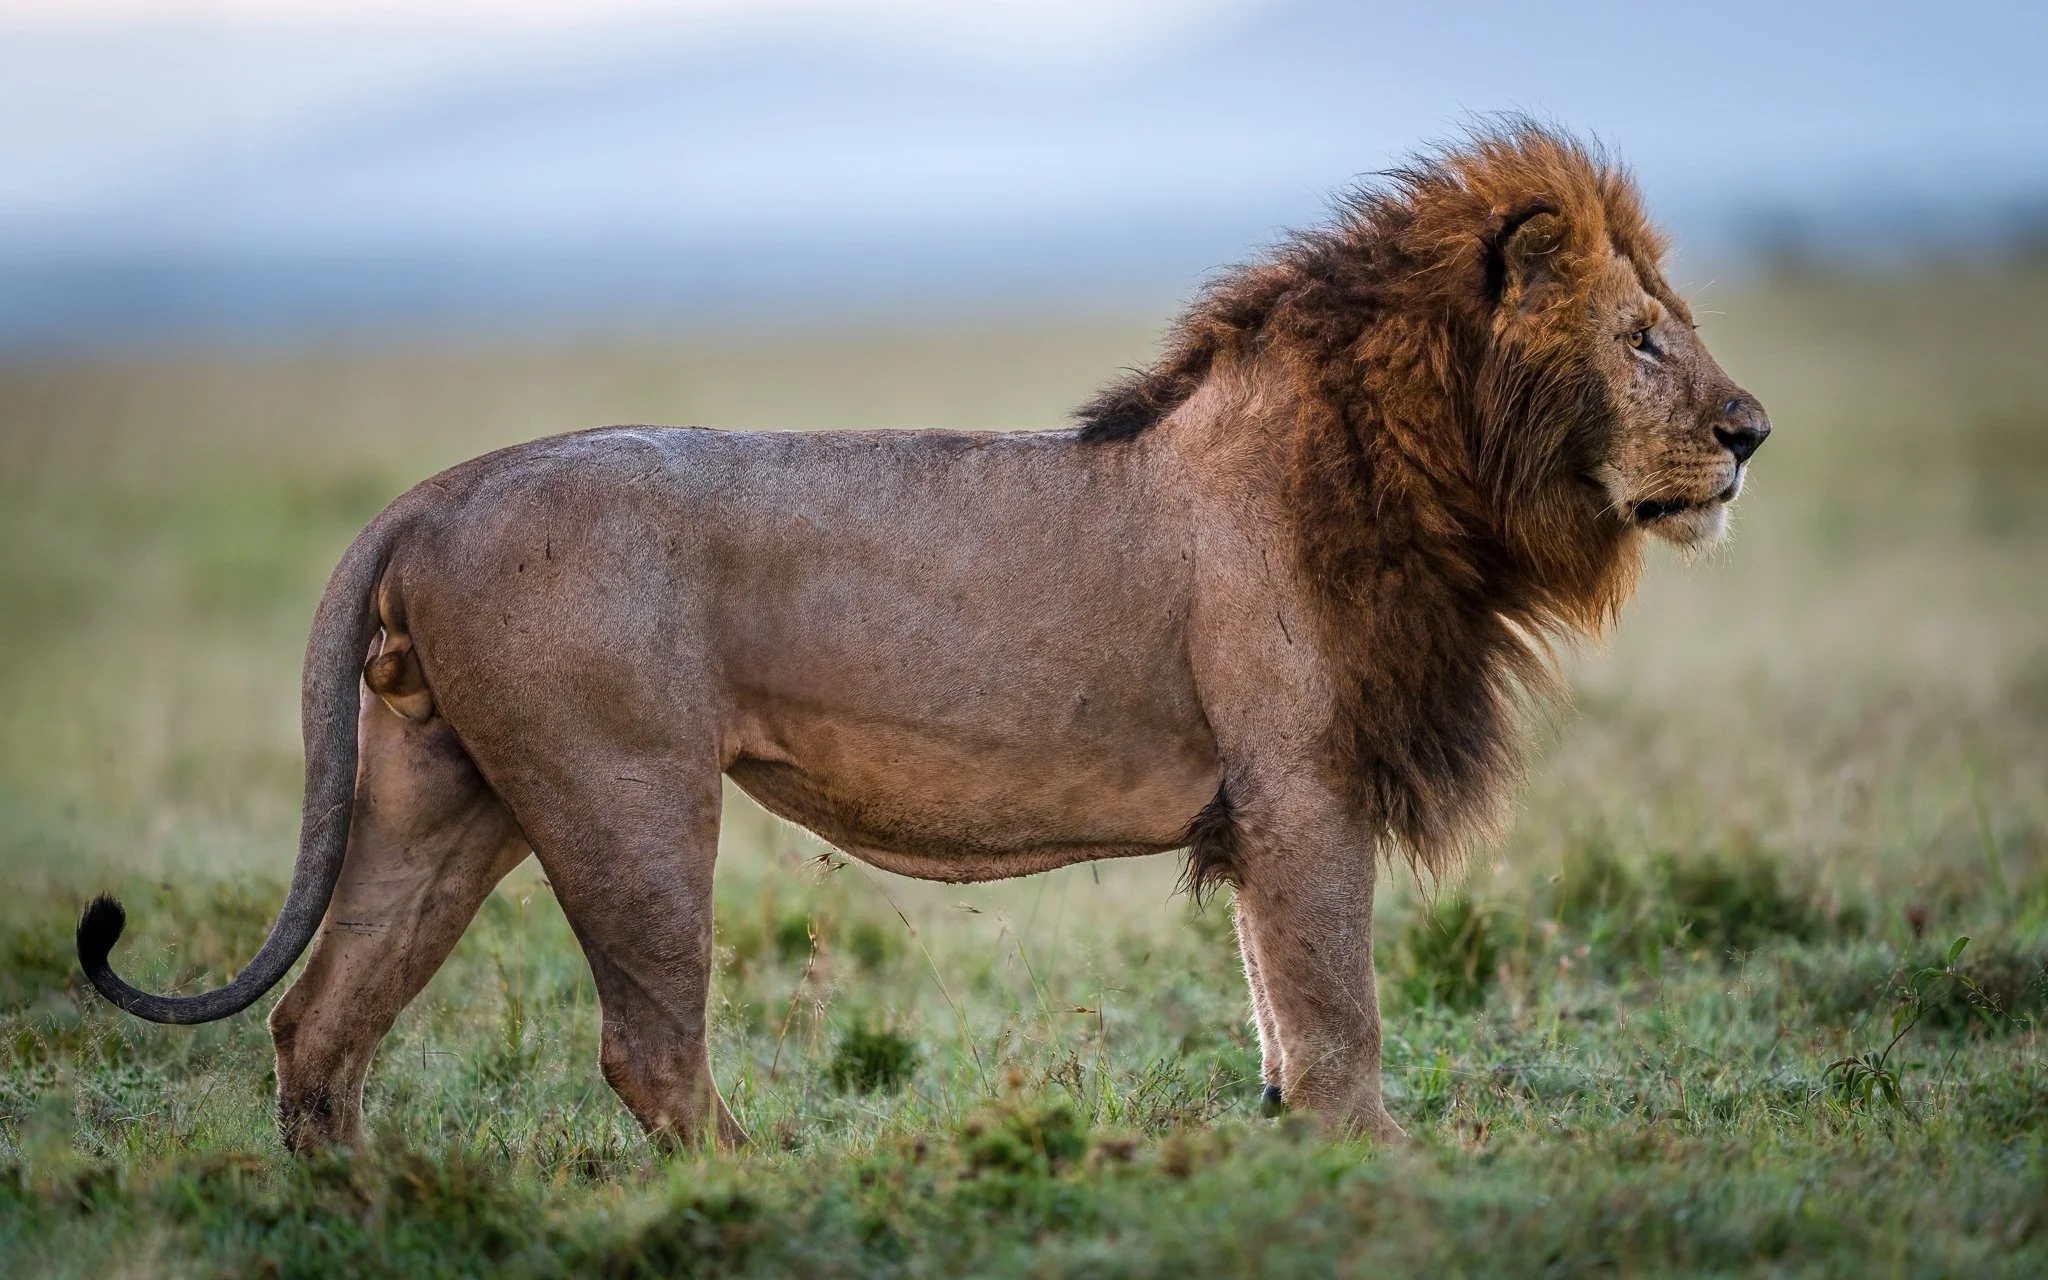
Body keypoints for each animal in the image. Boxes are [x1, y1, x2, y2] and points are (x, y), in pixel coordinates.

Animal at [76, 122, 1768, 1151]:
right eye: (1642, 341)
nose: (1753, 433)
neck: (1416, 467)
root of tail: (434, 491)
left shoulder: (1272, 808)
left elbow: (1283, 1025)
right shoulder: (1302, 789)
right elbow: (1339, 1023)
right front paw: (1374, 1180)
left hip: (448, 790)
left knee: (320, 1027)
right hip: (624, 794)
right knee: (646, 1051)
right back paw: (749, 1195)